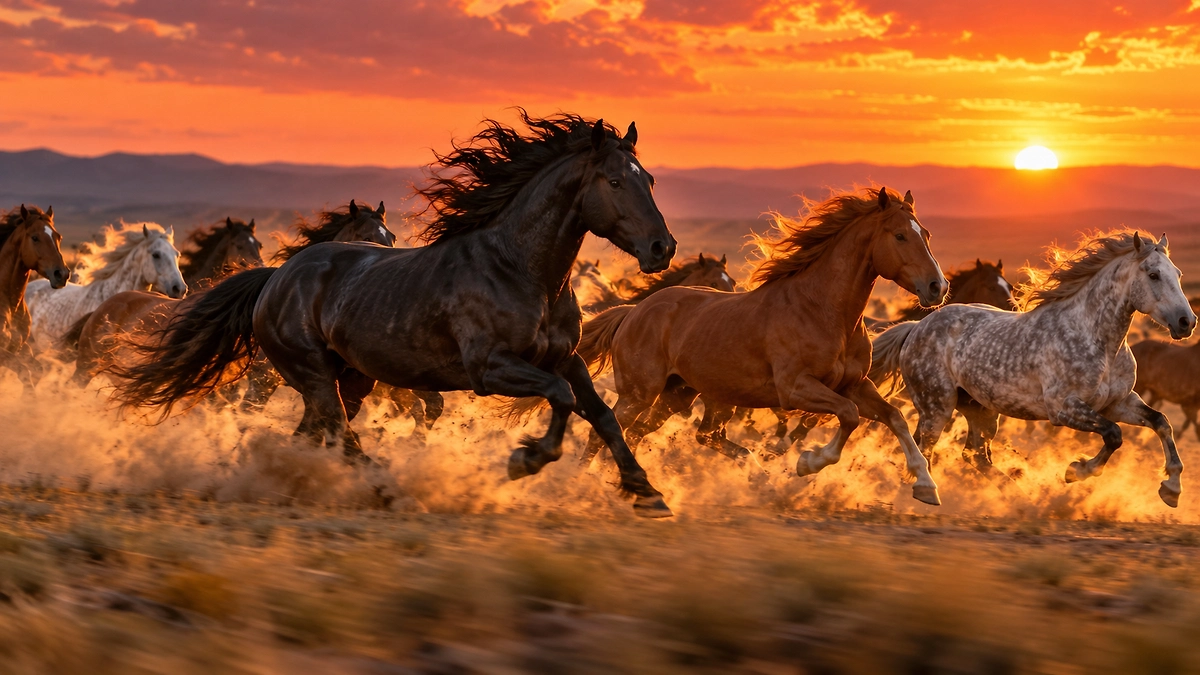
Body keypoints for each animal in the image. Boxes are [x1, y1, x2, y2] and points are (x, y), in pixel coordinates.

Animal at [0, 205, 69, 388]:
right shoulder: (3, 353)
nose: (62, 274)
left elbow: (37, 371)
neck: (10, 303)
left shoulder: (20, 347)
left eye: (58, 237)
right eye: (35, 237)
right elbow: (25, 373)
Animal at [110, 113, 678, 517]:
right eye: (614, 181)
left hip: (349, 379)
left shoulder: (567, 359)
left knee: (318, 433)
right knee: (339, 433)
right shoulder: (491, 368)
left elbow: (602, 415)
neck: (520, 269)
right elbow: (561, 399)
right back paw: (387, 490)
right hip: (313, 372)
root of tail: (275, 277)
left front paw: (646, 492)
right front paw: (525, 460)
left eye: (649, 178)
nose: (662, 247)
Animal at [578, 186, 948, 505]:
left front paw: (926, 486)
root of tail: (632, 311)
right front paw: (808, 462)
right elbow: (849, 415)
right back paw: (576, 482)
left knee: (651, 434)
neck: (823, 310)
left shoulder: (855, 385)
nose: (937, 287)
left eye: (927, 235)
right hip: (639, 393)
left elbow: (894, 417)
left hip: (676, 396)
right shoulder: (795, 388)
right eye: (899, 235)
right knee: (605, 433)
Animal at [870, 231, 1195, 507]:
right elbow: (1114, 434)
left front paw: (1172, 489)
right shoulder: (1063, 409)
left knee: (975, 455)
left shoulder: (1118, 403)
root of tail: (916, 327)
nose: (1186, 322)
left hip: (980, 409)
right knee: (923, 447)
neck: (1096, 339)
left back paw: (1019, 497)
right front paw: (1076, 470)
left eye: (1178, 274)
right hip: (937, 405)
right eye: (1153, 274)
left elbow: (1161, 422)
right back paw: (924, 491)